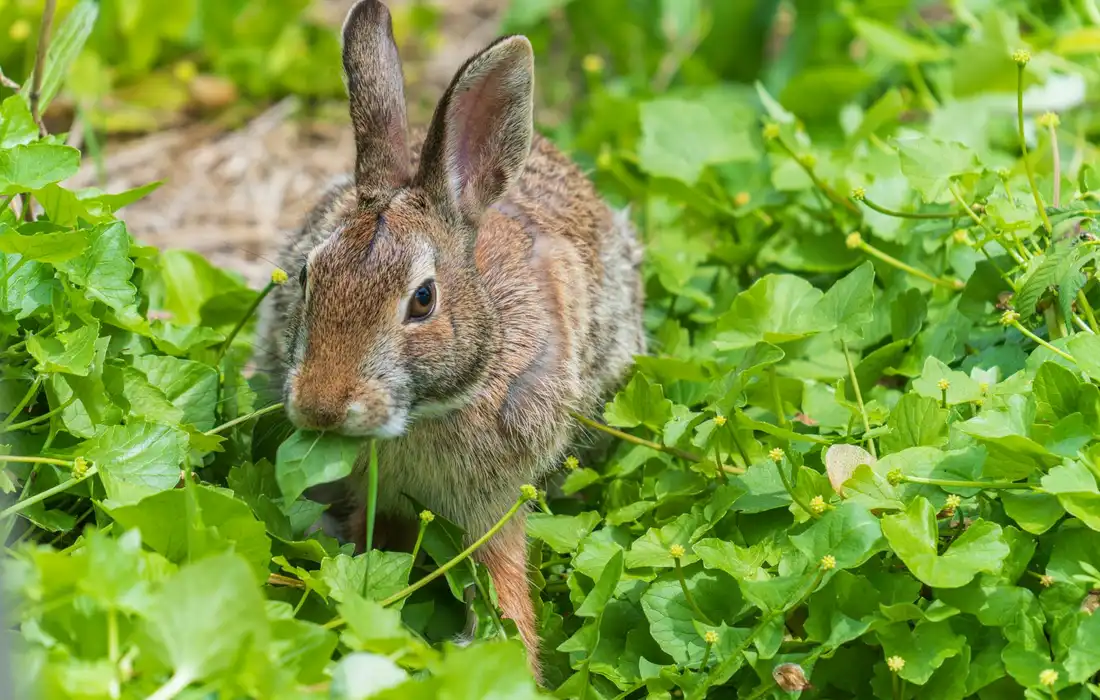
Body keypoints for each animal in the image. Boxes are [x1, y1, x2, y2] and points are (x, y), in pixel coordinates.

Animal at [259, 0, 645, 680]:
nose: (322, 408)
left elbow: (503, 584)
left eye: (423, 300)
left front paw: (514, 663)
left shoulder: (495, 506)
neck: (429, 412)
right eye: (308, 276)